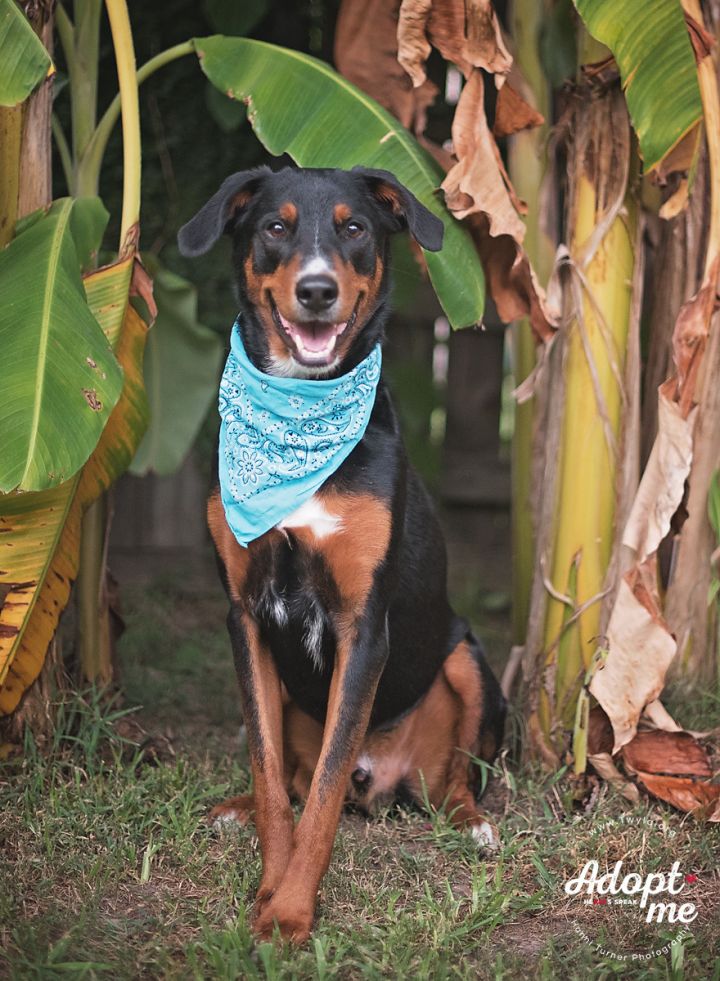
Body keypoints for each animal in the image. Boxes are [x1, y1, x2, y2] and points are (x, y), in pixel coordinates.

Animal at [179, 168, 506, 940]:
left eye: (354, 227)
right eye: (275, 227)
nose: (318, 290)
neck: (297, 418)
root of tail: (384, 775)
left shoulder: (363, 625)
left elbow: (326, 790)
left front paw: (293, 911)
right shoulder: (244, 614)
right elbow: (273, 773)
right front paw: (272, 887)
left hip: (466, 657)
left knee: (455, 778)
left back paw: (473, 824)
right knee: (292, 775)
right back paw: (234, 809)